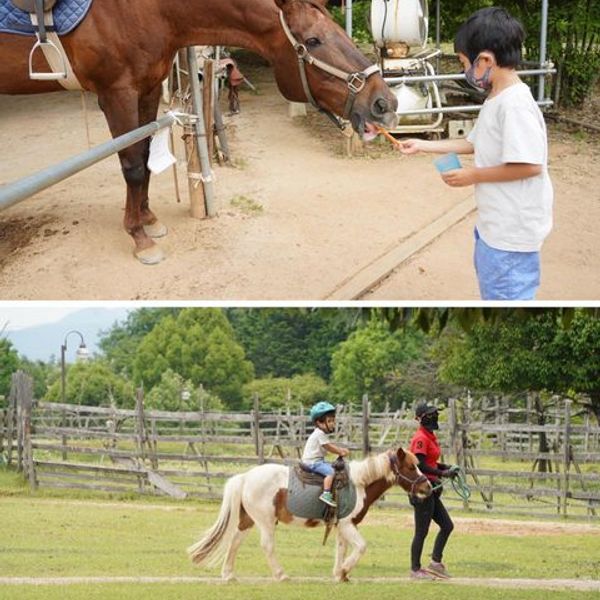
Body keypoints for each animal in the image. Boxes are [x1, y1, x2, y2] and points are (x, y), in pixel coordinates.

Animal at [2, 0, 400, 262]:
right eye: (314, 41)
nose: (385, 103)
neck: (141, 10)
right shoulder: (117, 93)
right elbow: (132, 166)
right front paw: (139, 237)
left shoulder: (148, 88)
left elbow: (145, 157)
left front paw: (149, 219)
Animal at [189, 446, 432, 580]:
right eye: (411, 467)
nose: (428, 487)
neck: (358, 484)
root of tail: (246, 476)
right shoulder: (347, 524)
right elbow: (361, 547)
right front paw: (345, 570)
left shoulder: (341, 526)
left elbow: (341, 549)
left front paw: (340, 574)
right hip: (265, 521)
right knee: (267, 546)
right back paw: (281, 575)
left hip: (248, 520)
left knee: (235, 542)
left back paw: (228, 575)